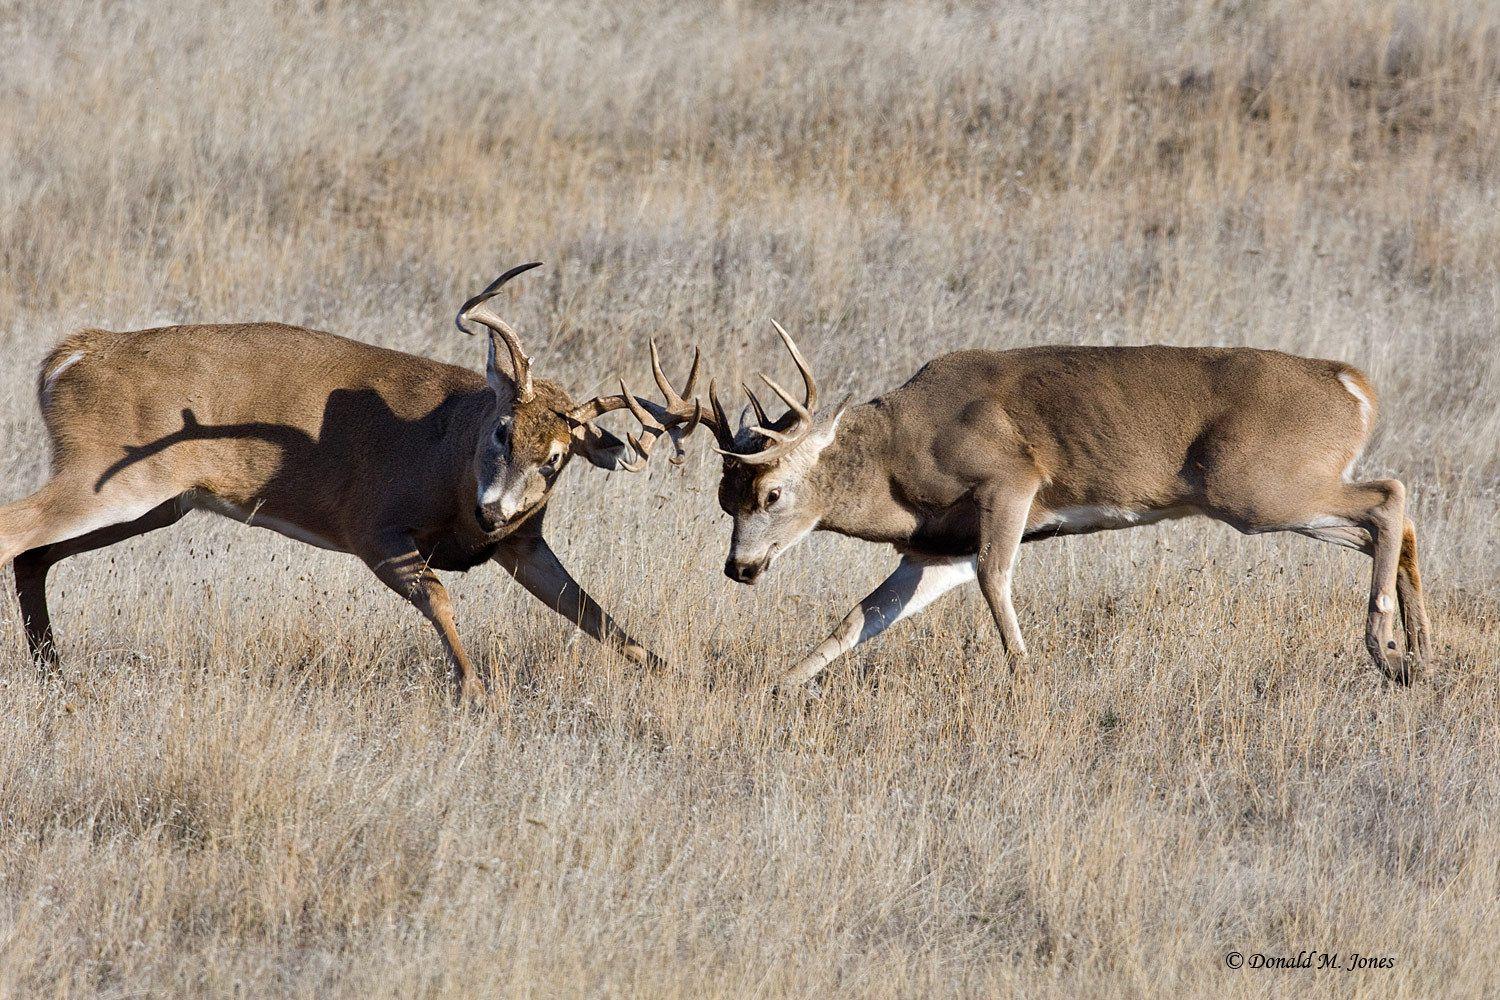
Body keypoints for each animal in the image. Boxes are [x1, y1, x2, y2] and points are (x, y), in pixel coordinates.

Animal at [0, 262, 701, 706]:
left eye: (556, 458)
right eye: (502, 431)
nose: (494, 510)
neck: (447, 459)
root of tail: (67, 359)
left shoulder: (520, 543)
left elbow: (590, 610)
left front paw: (670, 671)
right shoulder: (372, 525)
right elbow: (440, 595)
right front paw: (477, 692)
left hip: (155, 504)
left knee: (34, 556)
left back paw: (54, 673)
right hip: (105, 479)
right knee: (15, 533)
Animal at [669, 323, 1432, 695]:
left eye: (773, 493)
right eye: (722, 499)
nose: (740, 568)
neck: (896, 456)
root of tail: (1353, 385)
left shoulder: (1009, 480)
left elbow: (996, 579)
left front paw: (1026, 676)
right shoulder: (934, 548)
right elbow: (858, 619)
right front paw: (776, 689)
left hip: (1255, 486)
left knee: (1389, 497)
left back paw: (1387, 649)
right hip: (1279, 491)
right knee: (1390, 520)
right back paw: (1420, 649)